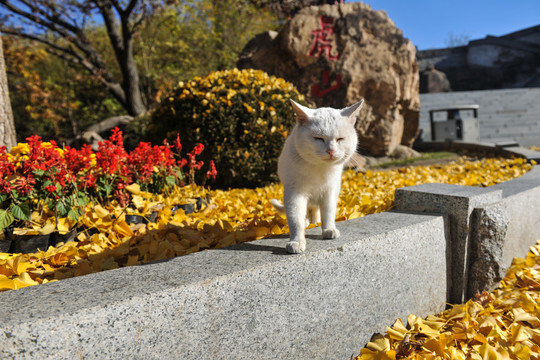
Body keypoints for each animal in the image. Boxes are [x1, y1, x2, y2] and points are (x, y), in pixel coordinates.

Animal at [272, 99, 364, 253]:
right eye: (318, 139)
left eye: (340, 139)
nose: (331, 151)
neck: (320, 169)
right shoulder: (294, 193)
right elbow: (295, 219)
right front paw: (297, 242)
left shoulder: (330, 191)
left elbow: (328, 212)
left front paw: (328, 229)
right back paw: (308, 221)